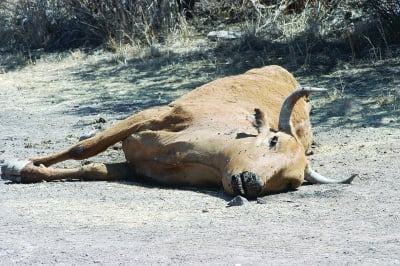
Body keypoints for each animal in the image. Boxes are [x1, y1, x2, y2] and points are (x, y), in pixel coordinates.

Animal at [0, 65, 356, 198]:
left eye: (291, 182)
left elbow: (92, 169)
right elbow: (83, 149)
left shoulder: (135, 168)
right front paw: (16, 164)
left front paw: (26, 169)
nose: (252, 182)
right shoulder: (148, 117)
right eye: (272, 140)